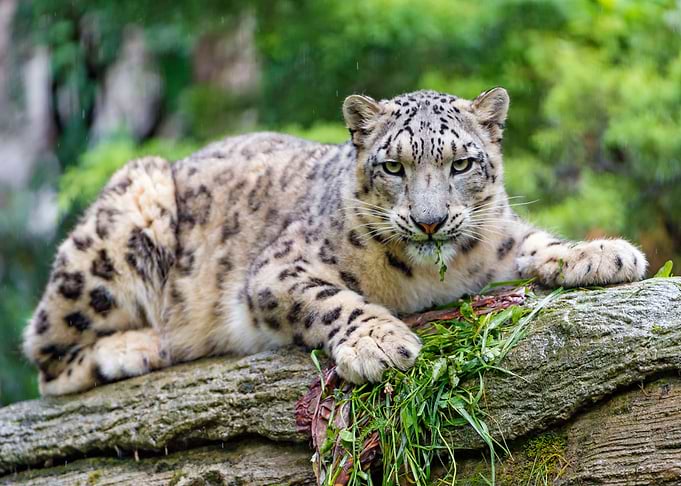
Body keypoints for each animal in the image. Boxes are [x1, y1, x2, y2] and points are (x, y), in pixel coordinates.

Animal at [23, 87, 647, 396]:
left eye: (462, 163)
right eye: (393, 166)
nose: (429, 221)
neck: (427, 278)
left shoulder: (498, 240)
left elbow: (535, 243)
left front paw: (602, 253)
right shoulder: (279, 270)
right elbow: (330, 299)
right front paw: (379, 343)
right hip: (121, 226)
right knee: (45, 355)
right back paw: (136, 348)